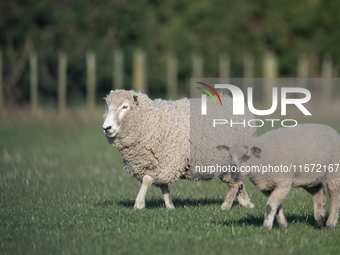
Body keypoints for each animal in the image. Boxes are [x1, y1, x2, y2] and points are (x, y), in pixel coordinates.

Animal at [102, 89, 256, 209]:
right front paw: (170, 206)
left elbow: (147, 179)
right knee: (238, 182)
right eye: (107, 107)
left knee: (235, 183)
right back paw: (246, 202)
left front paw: (139, 204)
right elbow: (162, 185)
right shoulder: (159, 163)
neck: (150, 121)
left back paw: (226, 206)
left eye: (124, 107)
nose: (106, 128)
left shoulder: (168, 160)